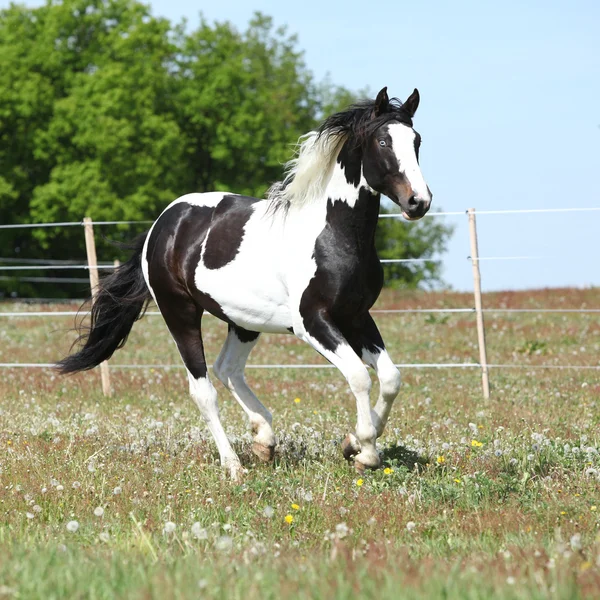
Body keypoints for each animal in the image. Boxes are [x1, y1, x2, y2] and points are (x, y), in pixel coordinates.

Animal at [57, 86, 432, 480]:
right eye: (383, 141)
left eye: (417, 140)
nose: (418, 202)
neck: (335, 235)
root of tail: (164, 222)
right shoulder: (313, 322)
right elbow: (360, 376)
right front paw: (366, 452)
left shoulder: (356, 317)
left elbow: (390, 377)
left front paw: (353, 443)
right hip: (180, 313)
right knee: (203, 389)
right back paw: (233, 465)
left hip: (244, 322)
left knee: (228, 369)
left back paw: (264, 440)